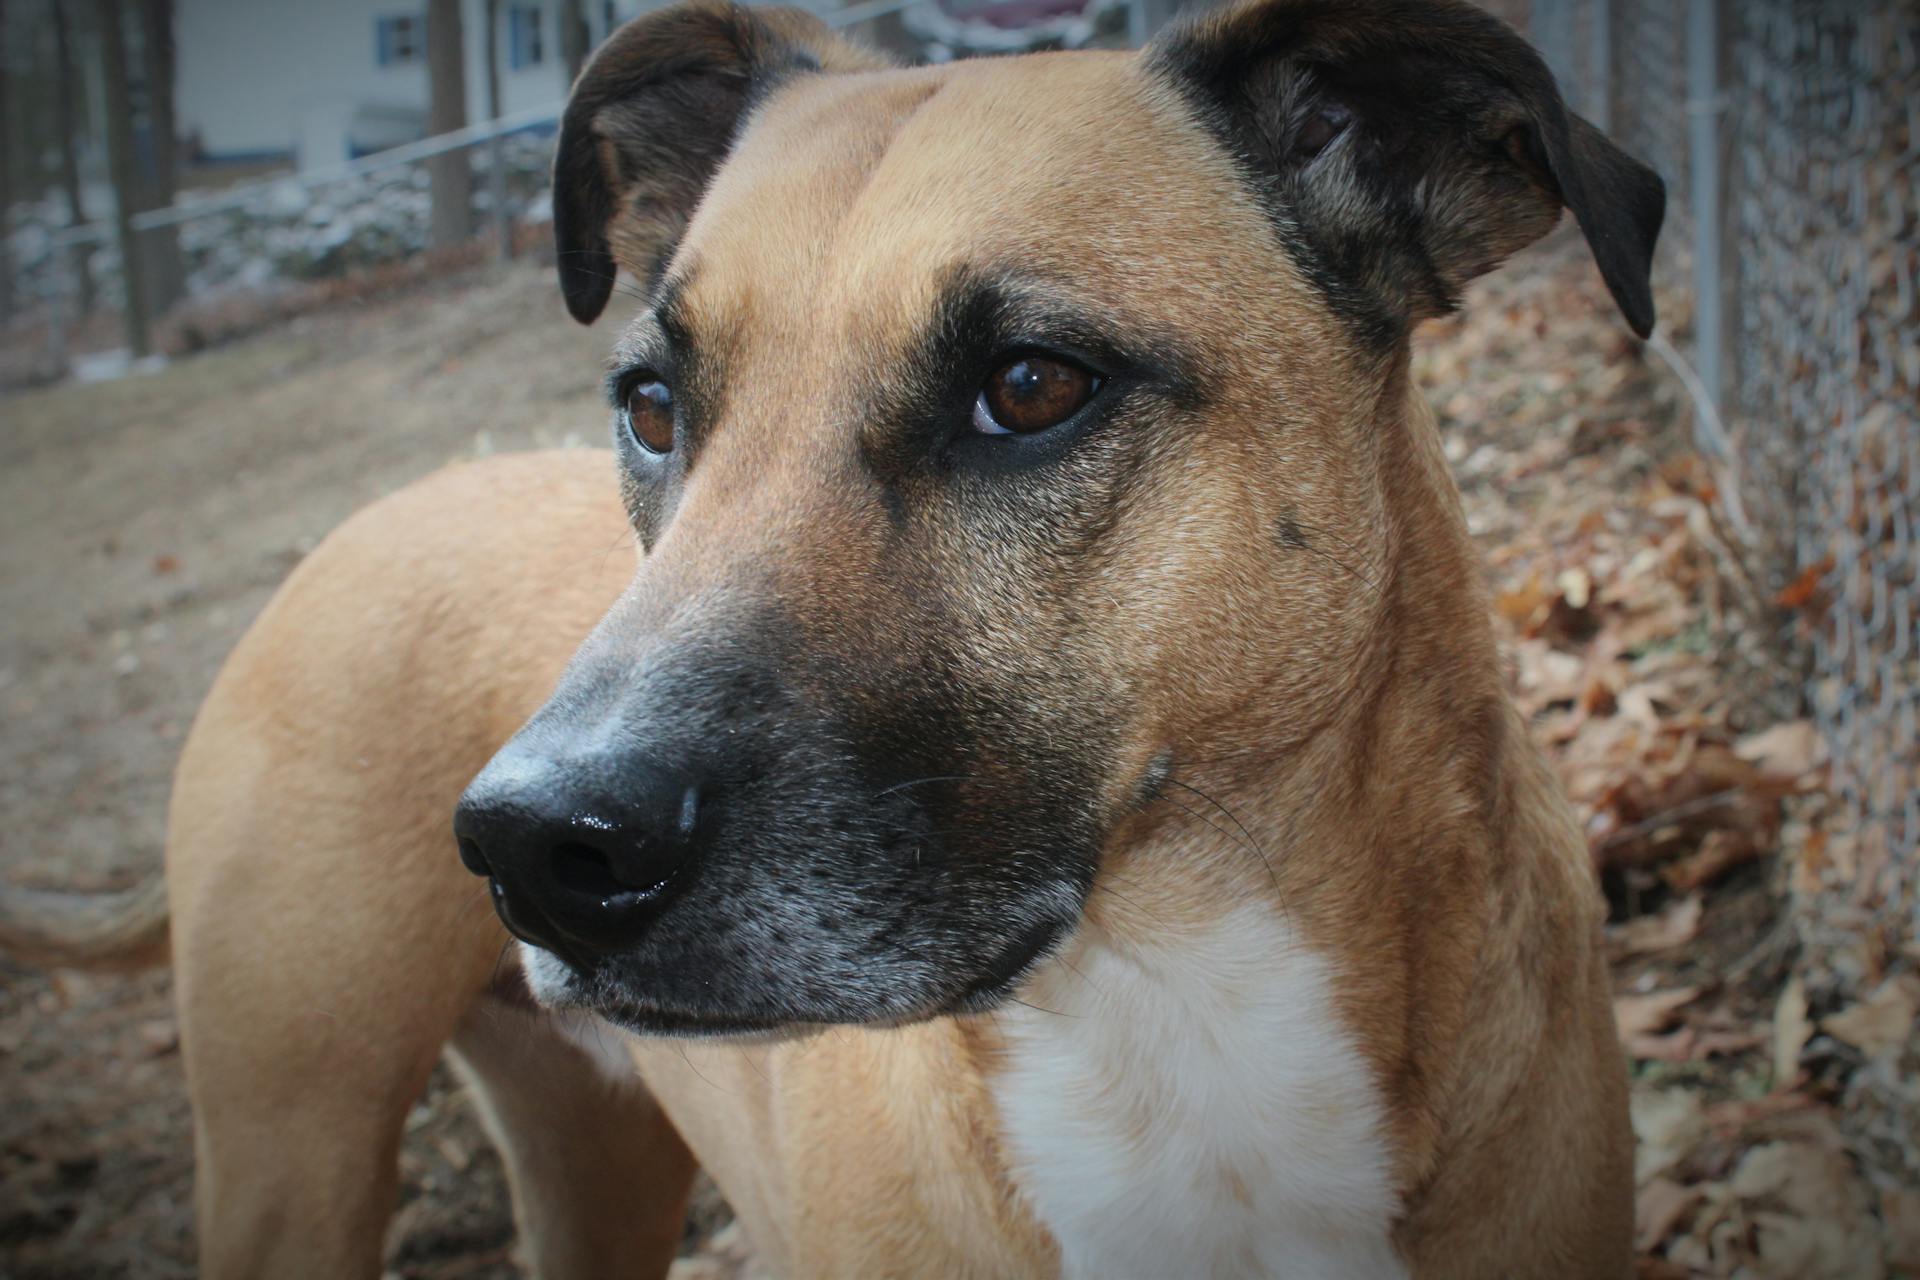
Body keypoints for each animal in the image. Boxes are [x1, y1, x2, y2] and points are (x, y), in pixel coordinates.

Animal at [0, 0, 1658, 1274]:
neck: (1172, 1019)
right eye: (651, 405)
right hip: (293, 1151)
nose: (532, 846)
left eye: (1033, 385)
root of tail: (353, 526)